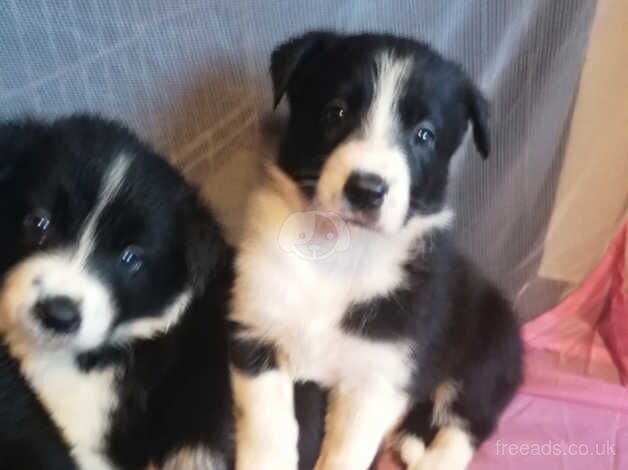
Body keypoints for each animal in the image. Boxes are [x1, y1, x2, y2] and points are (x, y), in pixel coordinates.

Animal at [228, 32, 524, 470]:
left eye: (424, 135)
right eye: (335, 112)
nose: (367, 189)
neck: (337, 249)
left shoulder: (376, 376)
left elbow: (346, 453)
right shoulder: (257, 333)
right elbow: (268, 431)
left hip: (486, 358)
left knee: (470, 420)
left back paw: (436, 459)